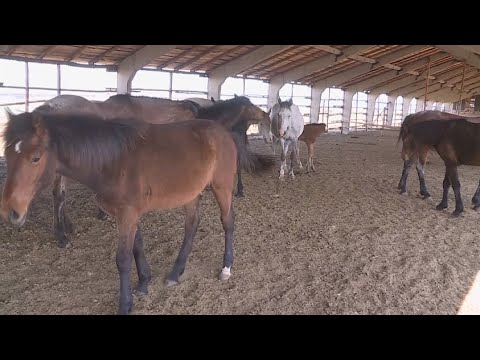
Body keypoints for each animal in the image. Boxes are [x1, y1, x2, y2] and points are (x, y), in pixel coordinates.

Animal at [0, 111, 274, 314]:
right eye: (8, 155)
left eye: (35, 157)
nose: (11, 211)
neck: (111, 160)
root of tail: (225, 132)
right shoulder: (129, 214)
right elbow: (137, 247)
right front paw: (144, 282)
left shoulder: (127, 214)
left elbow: (122, 259)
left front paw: (126, 304)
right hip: (191, 194)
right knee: (192, 226)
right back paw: (175, 272)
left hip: (222, 187)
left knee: (228, 222)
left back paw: (226, 267)